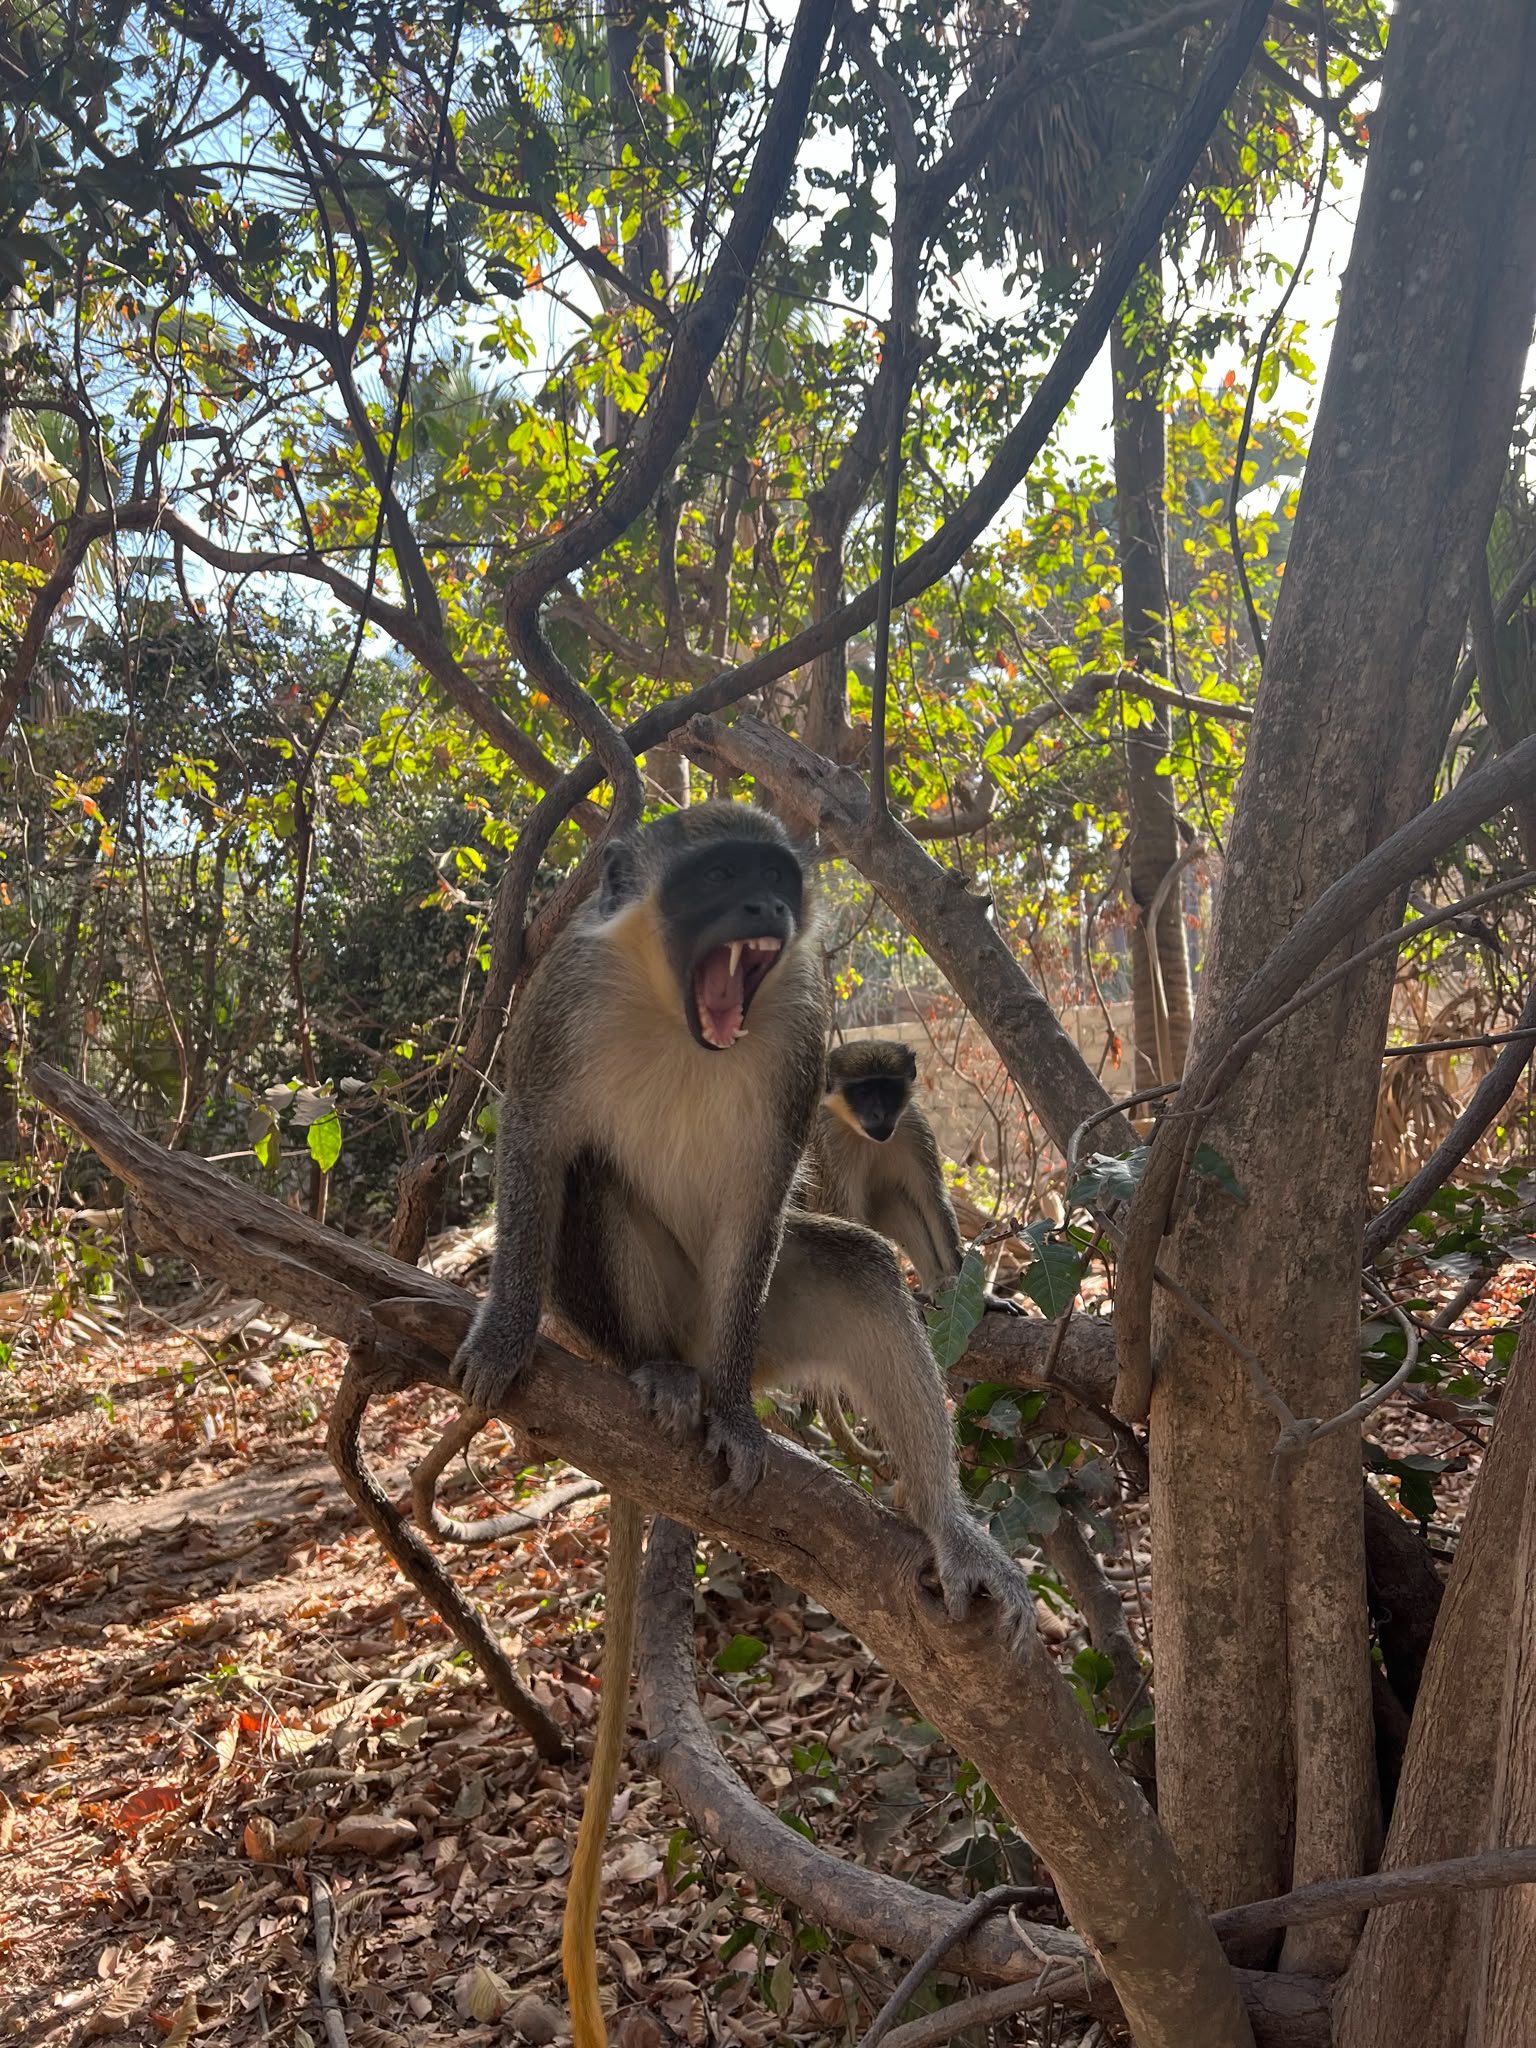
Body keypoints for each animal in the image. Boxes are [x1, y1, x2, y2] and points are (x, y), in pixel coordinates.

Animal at [800, 1039, 1023, 1315]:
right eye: (863, 1091)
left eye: (888, 1089)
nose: (880, 1114)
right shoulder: (828, 1144)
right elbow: (844, 1220)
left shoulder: (914, 1128)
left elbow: (932, 1201)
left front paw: (977, 1296)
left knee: (894, 1199)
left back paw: (937, 1284)